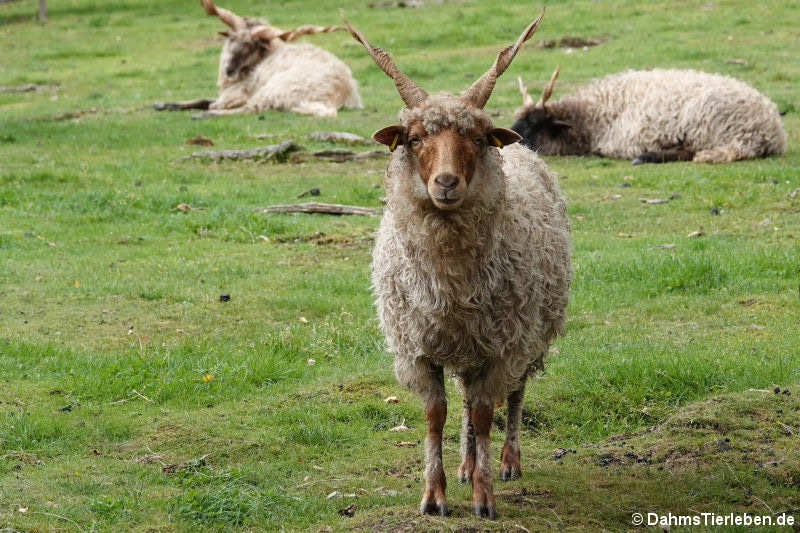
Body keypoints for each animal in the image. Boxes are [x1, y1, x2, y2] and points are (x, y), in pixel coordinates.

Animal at [156, 0, 362, 117]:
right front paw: (164, 104)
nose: (229, 70)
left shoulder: (235, 95)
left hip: (275, 88)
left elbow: (208, 102)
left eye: (251, 45)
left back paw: (208, 114)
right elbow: (201, 99)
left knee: (250, 108)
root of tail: (337, 94)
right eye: (231, 38)